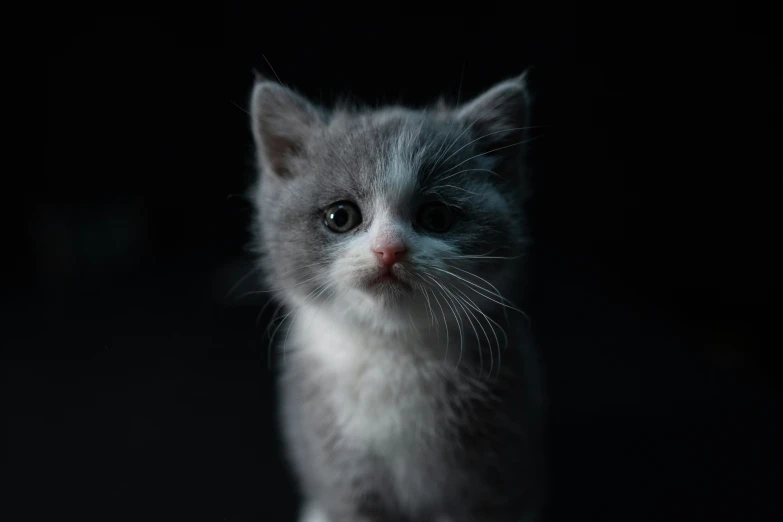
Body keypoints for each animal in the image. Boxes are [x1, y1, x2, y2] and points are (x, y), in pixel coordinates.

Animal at [250, 70, 544, 520]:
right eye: (341, 216)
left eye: (436, 217)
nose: (389, 249)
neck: (392, 350)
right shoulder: (336, 463)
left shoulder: (488, 471)